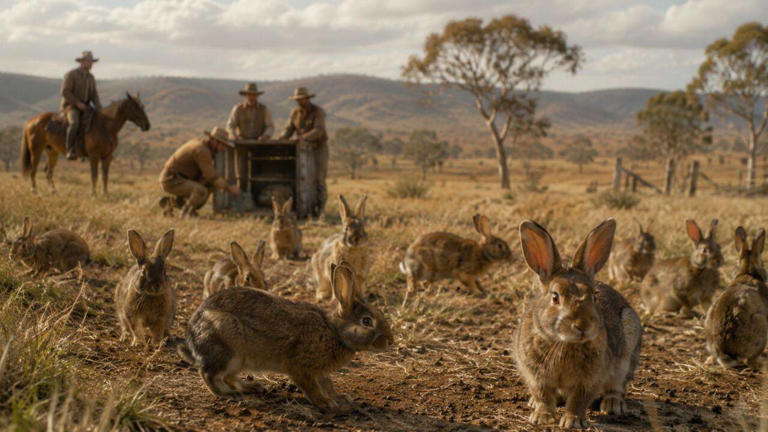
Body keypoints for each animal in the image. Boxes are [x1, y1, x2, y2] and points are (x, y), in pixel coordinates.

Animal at [177, 263, 394, 413]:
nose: (390, 341)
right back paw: (229, 394)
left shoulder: (320, 371)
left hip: (238, 360)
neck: (335, 332)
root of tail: (192, 338)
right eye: (367, 321)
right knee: (208, 374)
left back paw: (252, 386)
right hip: (227, 346)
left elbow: (328, 385)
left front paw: (340, 398)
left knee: (229, 377)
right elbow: (312, 387)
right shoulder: (300, 367)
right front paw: (326, 403)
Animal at [515, 219, 642, 429]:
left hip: (627, 351)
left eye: (594, 296)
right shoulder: (535, 373)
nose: (583, 326)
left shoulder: (591, 377)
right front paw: (542, 416)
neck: (564, 343)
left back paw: (613, 404)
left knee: (617, 385)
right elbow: (543, 394)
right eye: (555, 297)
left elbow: (579, 398)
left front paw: (573, 421)